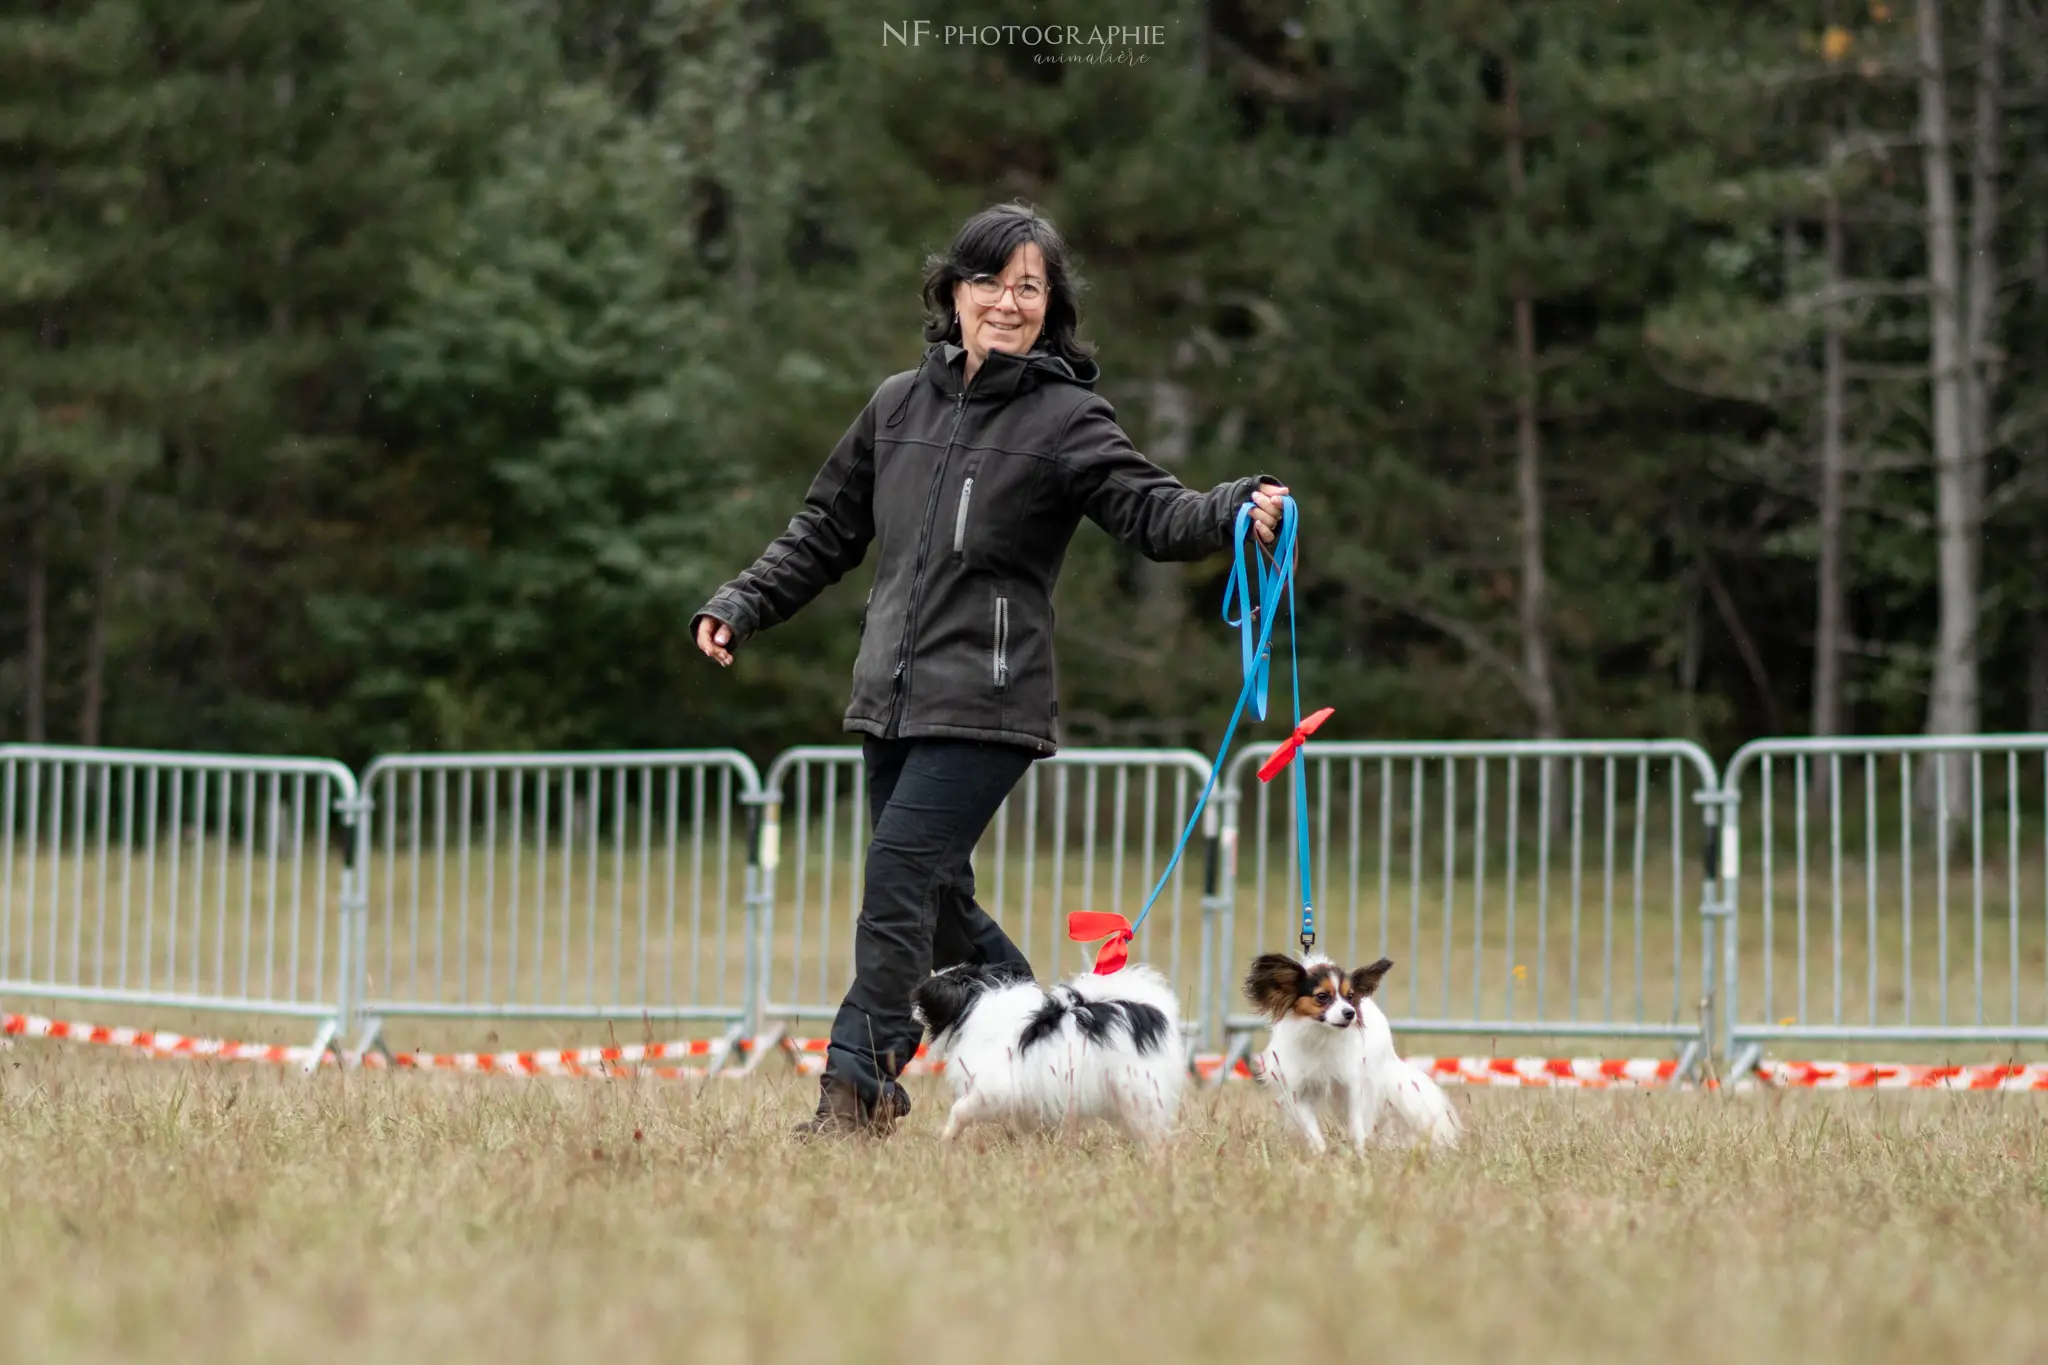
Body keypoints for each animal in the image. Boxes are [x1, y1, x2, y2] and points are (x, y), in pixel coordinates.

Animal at [913, 965, 1187, 1146]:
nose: (912, 1005)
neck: (975, 1001)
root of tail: (1151, 1010)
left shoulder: (994, 1089)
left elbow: (960, 1110)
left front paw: (947, 1137)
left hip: (1137, 1090)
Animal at [1236, 957, 1466, 1162]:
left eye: (1350, 996)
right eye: (1322, 996)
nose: (1350, 1012)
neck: (1322, 1035)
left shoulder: (1352, 1086)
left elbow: (1357, 1125)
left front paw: (1360, 1155)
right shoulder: (1297, 1092)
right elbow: (1311, 1129)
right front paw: (1320, 1155)